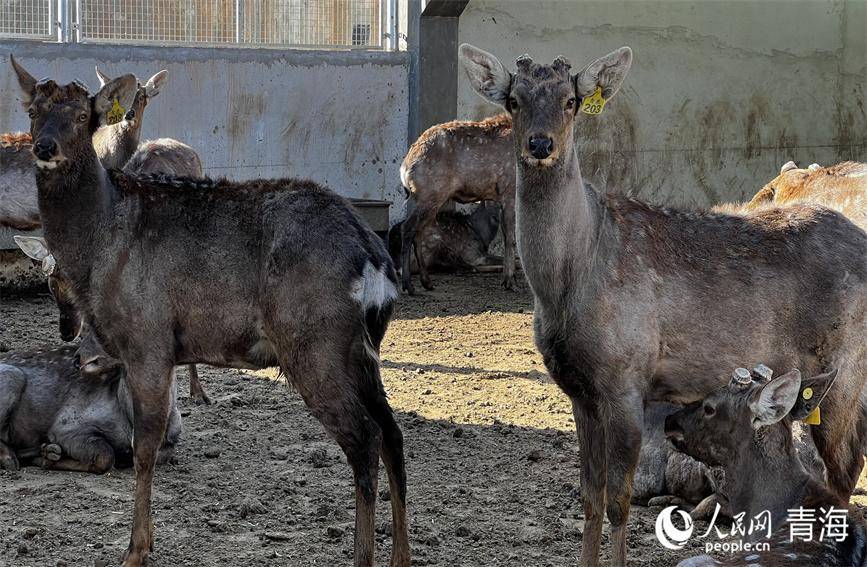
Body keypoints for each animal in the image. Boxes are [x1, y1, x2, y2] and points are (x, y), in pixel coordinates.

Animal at [0, 346, 181, 474]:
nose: (78, 359)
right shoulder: (65, 426)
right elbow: (105, 456)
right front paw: (46, 461)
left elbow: (162, 455)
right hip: (12, 377)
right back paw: (12, 458)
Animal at [398, 113, 516, 296]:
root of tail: (405, 166)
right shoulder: (509, 190)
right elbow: (510, 238)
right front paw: (509, 282)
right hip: (430, 194)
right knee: (408, 227)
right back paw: (408, 285)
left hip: (430, 199)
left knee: (419, 231)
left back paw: (427, 282)